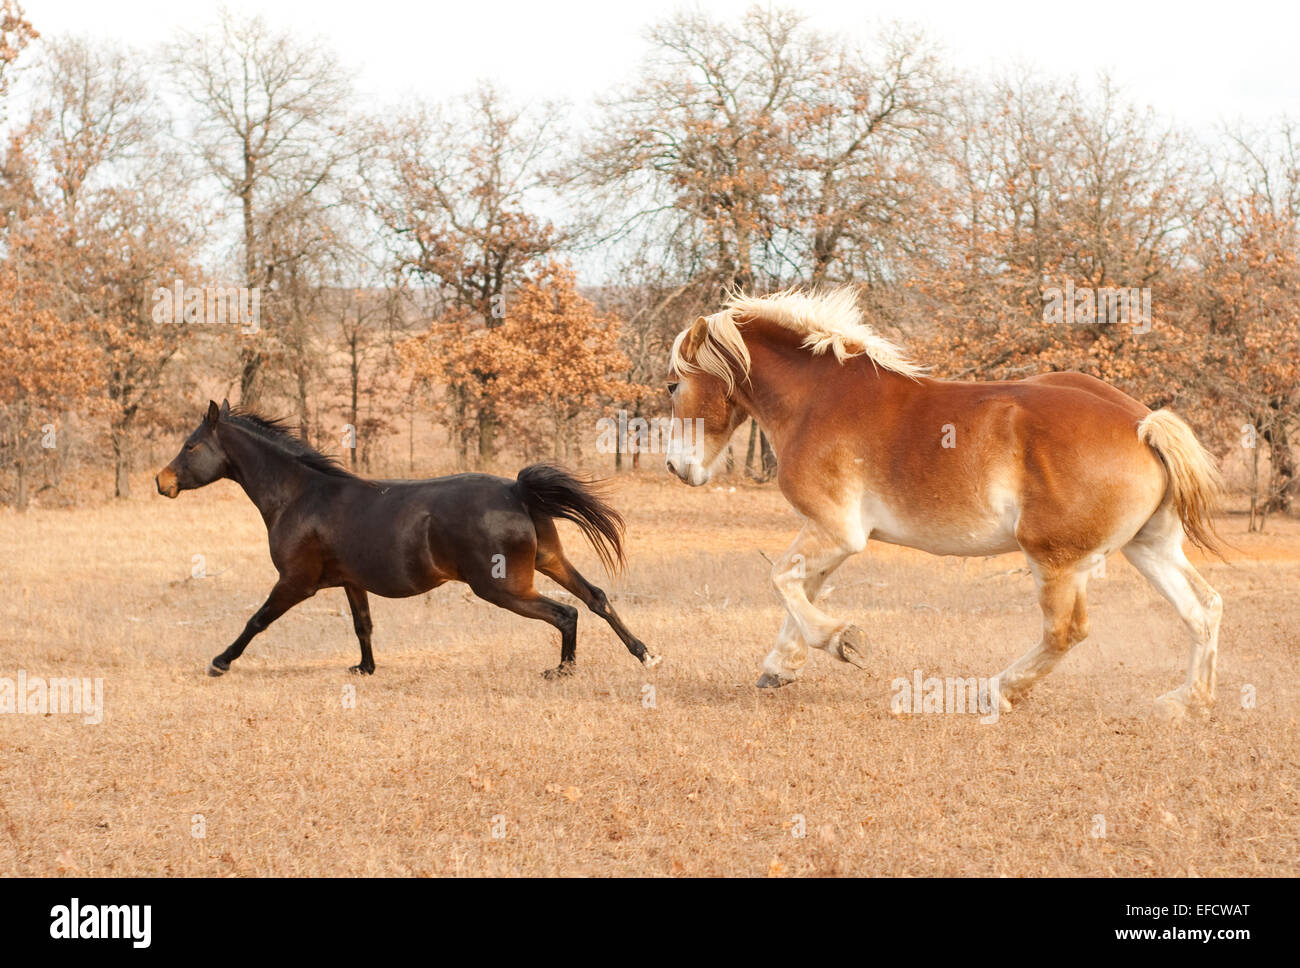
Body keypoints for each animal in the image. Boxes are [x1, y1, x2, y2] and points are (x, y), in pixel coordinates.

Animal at [154, 397, 660, 675]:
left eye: (190, 446)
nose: (162, 482)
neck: (300, 495)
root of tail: (518, 491)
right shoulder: (350, 581)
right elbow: (363, 625)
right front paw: (365, 668)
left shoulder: (295, 582)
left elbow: (257, 620)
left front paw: (220, 662)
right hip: (548, 561)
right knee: (595, 598)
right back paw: (645, 655)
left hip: (504, 587)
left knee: (565, 613)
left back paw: (562, 671)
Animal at [665, 287, 1222, 717]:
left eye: (673, 385)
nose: (675, 467)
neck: (819, 399)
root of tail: (1143, 424)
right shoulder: (832, 536)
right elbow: (803, 589)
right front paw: (780, 667)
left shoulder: (835, 530)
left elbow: (781, 579)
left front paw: (843, 641)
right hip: (1148, 548)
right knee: (1204, 609)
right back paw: (1185, 702)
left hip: (1055, 560)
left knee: (1066, 631)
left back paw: (996, 692)